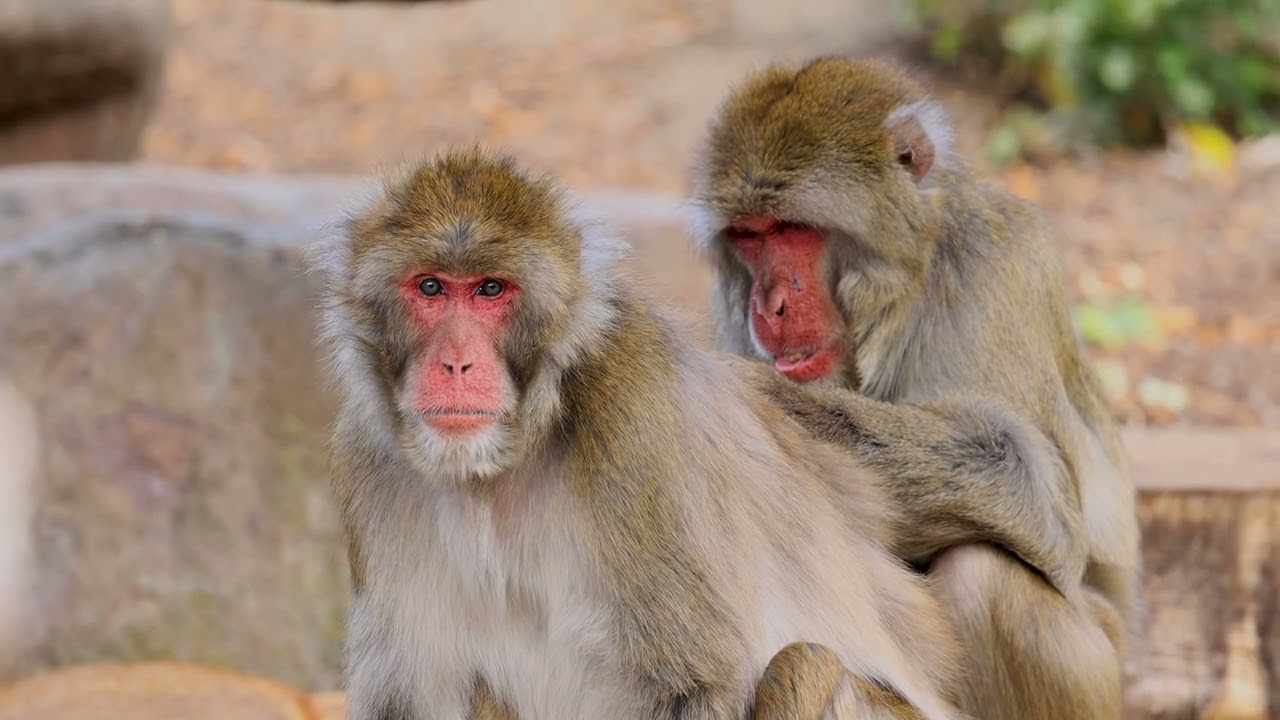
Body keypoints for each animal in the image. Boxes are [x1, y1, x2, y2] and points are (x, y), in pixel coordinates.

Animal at [308, 147, 969, 720]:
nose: (455, 363)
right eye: (430, 287)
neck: (507, 461)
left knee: (804, 665)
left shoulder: (633, 410)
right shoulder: (366, 458)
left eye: (490, 290)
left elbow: (690, 685)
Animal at [684, 57, 1142, 720]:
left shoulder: (990, 275)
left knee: (983, 579)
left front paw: (764, 400)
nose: (767, 306)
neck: (911, 283)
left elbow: (1041, 495)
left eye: (792, 227)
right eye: (749, 235)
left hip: (1101, 672)